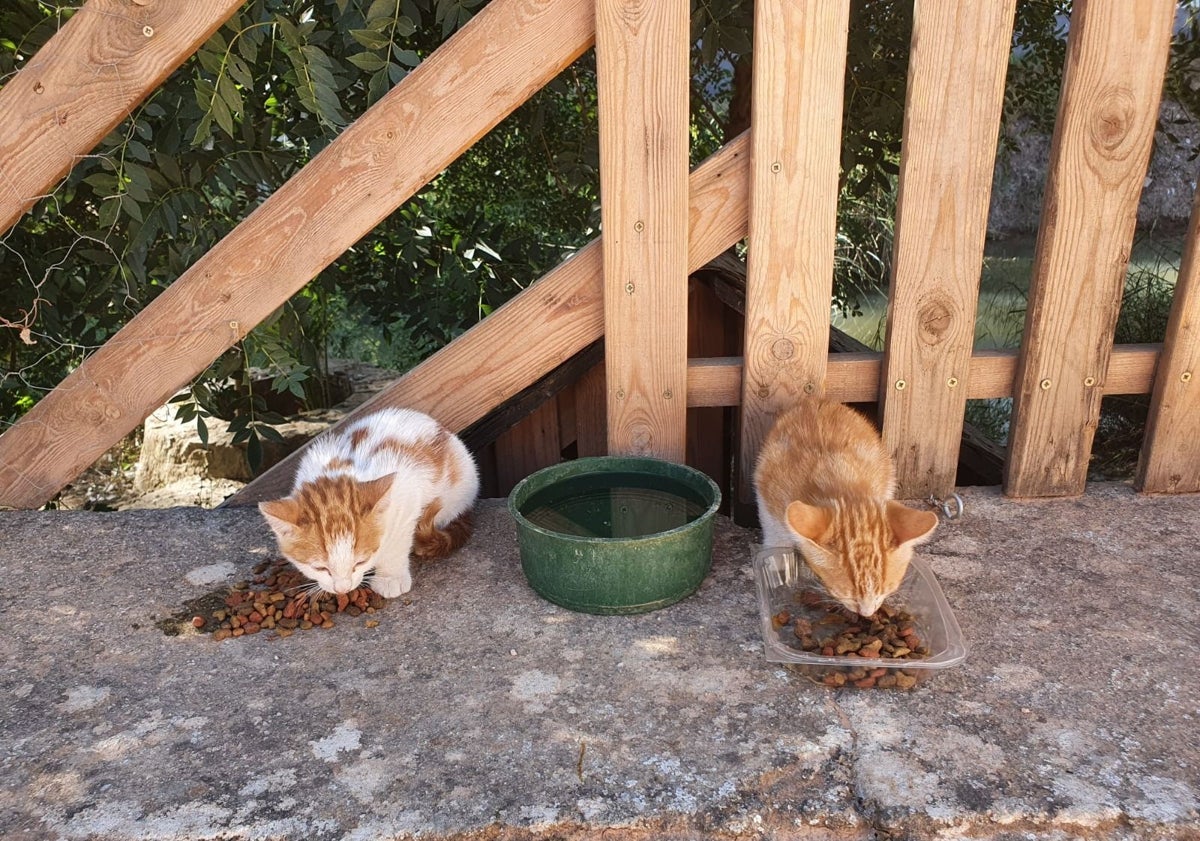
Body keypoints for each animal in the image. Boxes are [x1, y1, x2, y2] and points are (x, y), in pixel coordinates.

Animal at [259, 407, 477, 597]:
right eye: (320, 568)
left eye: (360, 562)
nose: (342, 589)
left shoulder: (407, 495)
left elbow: (396, 541)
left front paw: (390, 577)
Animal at [753, 395, 940, 614]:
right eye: (847, 595)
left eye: (885, 591)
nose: (867, 613)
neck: (837, 475)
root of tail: (820, 400)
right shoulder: (766, 491)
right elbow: (775, 533)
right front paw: (777, 562)